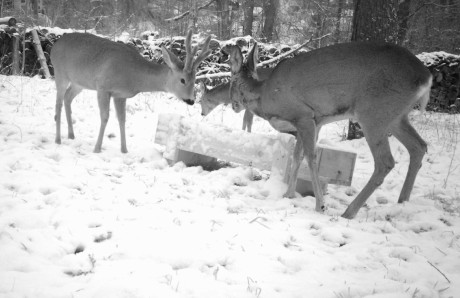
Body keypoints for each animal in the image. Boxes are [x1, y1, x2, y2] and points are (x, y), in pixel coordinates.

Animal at [51, 29, 212, 154]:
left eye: (195, 79)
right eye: (182, 80)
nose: (191, 100)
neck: (134, 76)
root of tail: (55, 45)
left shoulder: (120, 95)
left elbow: (122, 119)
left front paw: (124, 150)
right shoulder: (103, 87)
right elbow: (105, 117)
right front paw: (97, 148)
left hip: (79, 83)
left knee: (67, 98)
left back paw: (71, 135)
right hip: (60, 73)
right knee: (58, 103)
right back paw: (58, 139)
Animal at [225, 41, 434, 219]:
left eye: (230, 82)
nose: (233, 105)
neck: (265, 96)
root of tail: (427, 76)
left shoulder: (304, 116)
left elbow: (311, 158)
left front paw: (320, 205)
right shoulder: (312, 123)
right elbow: (297, 156)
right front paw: (288, 194)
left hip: (374, 113)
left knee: (386, 162)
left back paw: (349, 211)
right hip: (396, 117)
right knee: (419, 146)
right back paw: (402, 202)